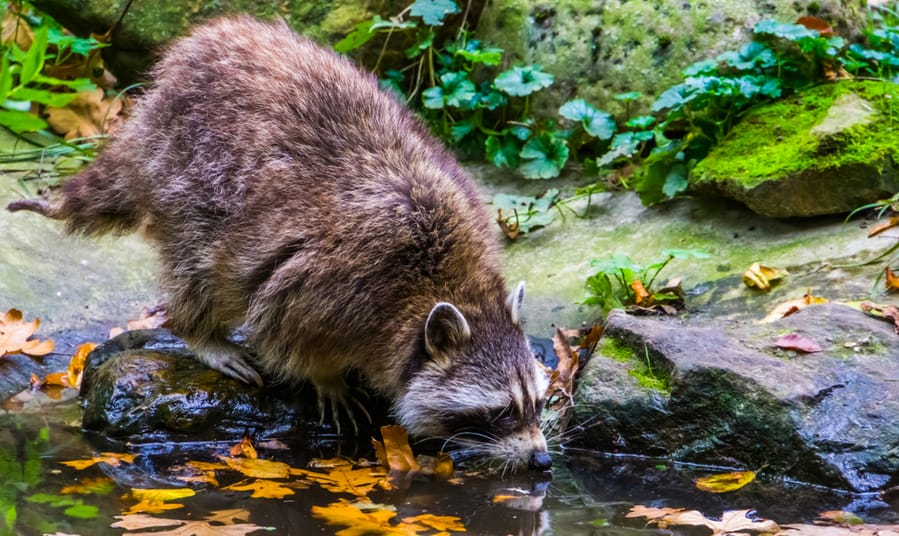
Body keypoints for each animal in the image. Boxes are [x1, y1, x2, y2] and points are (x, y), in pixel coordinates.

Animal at [10, 14, 552, 472]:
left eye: (537, 402)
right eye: (501, 411)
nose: (543, 461)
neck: (451, 285)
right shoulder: (336, 280)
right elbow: (288, 327)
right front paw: (326, 374)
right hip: (185, 174)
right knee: (200, 266)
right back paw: (200, 331)